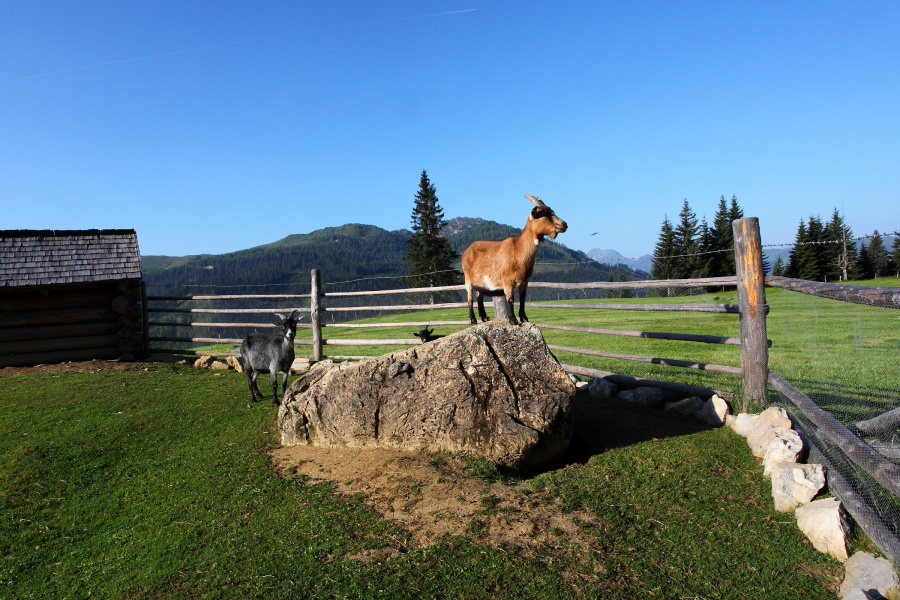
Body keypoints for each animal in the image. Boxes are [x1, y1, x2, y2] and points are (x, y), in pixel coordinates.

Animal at [462, 195, 567, 325]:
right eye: (545, 214)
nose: (564, 224)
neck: (518, 250)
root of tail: (467, 251)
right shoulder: (507, 281)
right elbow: (511, 299)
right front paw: (513, 320)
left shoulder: (524, 281)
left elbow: (522, 299)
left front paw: (524, 318)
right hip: (467, 279)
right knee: (470, 299)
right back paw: (473, 320)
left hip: (481, 282)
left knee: (479, 295)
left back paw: (485, 318)